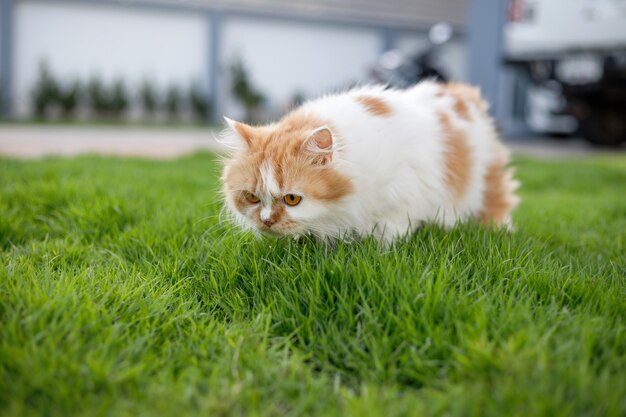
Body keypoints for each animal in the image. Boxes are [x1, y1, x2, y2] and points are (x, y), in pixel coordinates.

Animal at [218, 81, 516, 242]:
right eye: (252, 197)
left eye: (292, 199)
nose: (267, 221)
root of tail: (460, 91)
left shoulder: (402, 193)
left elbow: (389, 232)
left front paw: (378, 249)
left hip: (486, 178)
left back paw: (499, 230)